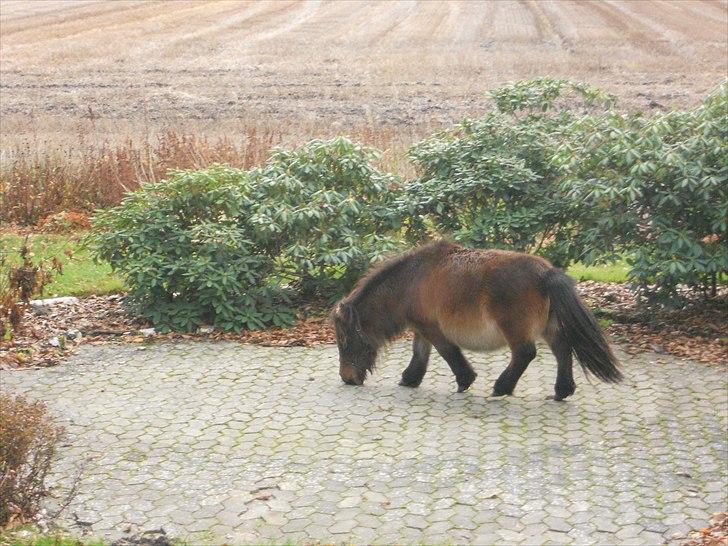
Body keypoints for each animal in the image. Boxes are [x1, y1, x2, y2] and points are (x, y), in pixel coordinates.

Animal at [332, 240, 624, 398]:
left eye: (344, 340)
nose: (347, 378)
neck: (411, 280)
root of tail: (546, 272)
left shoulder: (433, 329)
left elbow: (448, 352)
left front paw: (465, 380)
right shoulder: (422, 327)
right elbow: (419, 354)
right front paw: (410, 378)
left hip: (515, 328)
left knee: (525, 353)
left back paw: (502, 386)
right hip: (549, 327)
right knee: (563, 350)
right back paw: (562, 390)